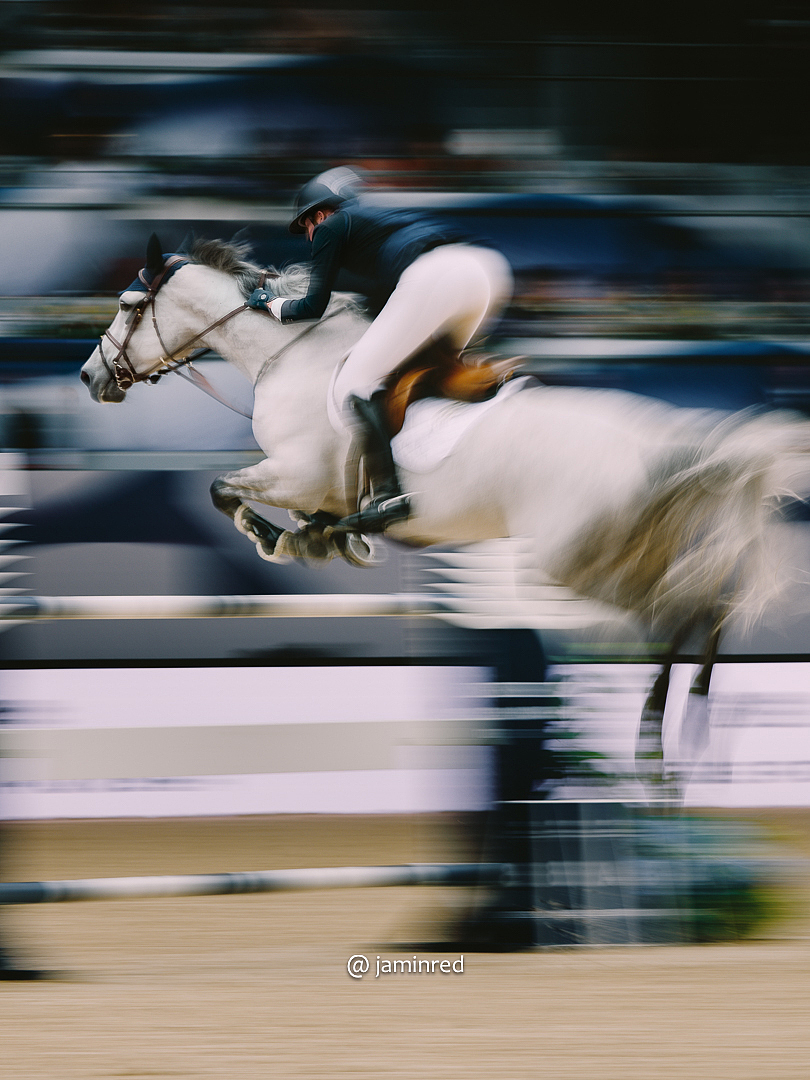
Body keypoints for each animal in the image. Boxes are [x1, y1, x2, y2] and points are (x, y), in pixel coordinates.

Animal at [80, 235, 810, 790]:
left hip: (573, 561)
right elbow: (274, 504)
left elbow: (223, 490)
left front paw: (282, 540)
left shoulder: (295, 472)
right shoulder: (315, 488)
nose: (90, 377)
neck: (282, 354)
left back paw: (661, 744)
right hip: (623, 547)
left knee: (674, 609)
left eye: (125, 303)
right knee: (702, 602)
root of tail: (653, 443)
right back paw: (689, 732)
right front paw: (324, 540)